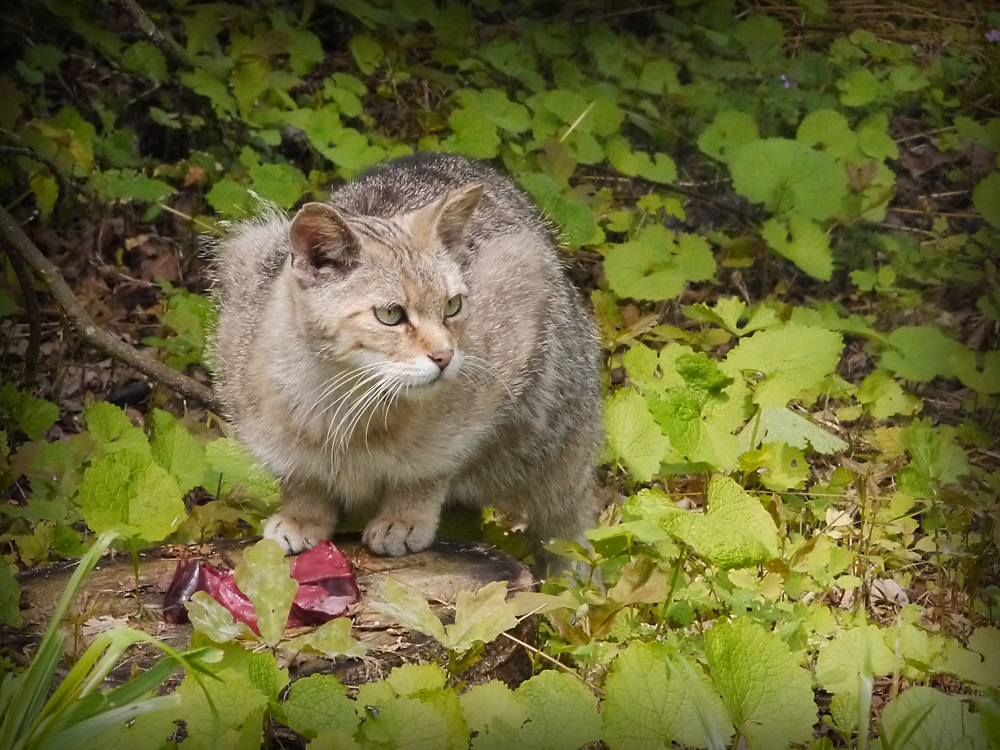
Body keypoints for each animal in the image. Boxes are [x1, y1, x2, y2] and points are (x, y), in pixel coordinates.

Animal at [211, 151, 600, 564]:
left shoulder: (495, 371)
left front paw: (405, 516)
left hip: (559, 452)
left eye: (453, 306)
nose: (445, 355)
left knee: (568, 533)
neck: (341, 399)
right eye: (390, 314)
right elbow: (301, 478)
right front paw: (303, 515)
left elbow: (428, 468)